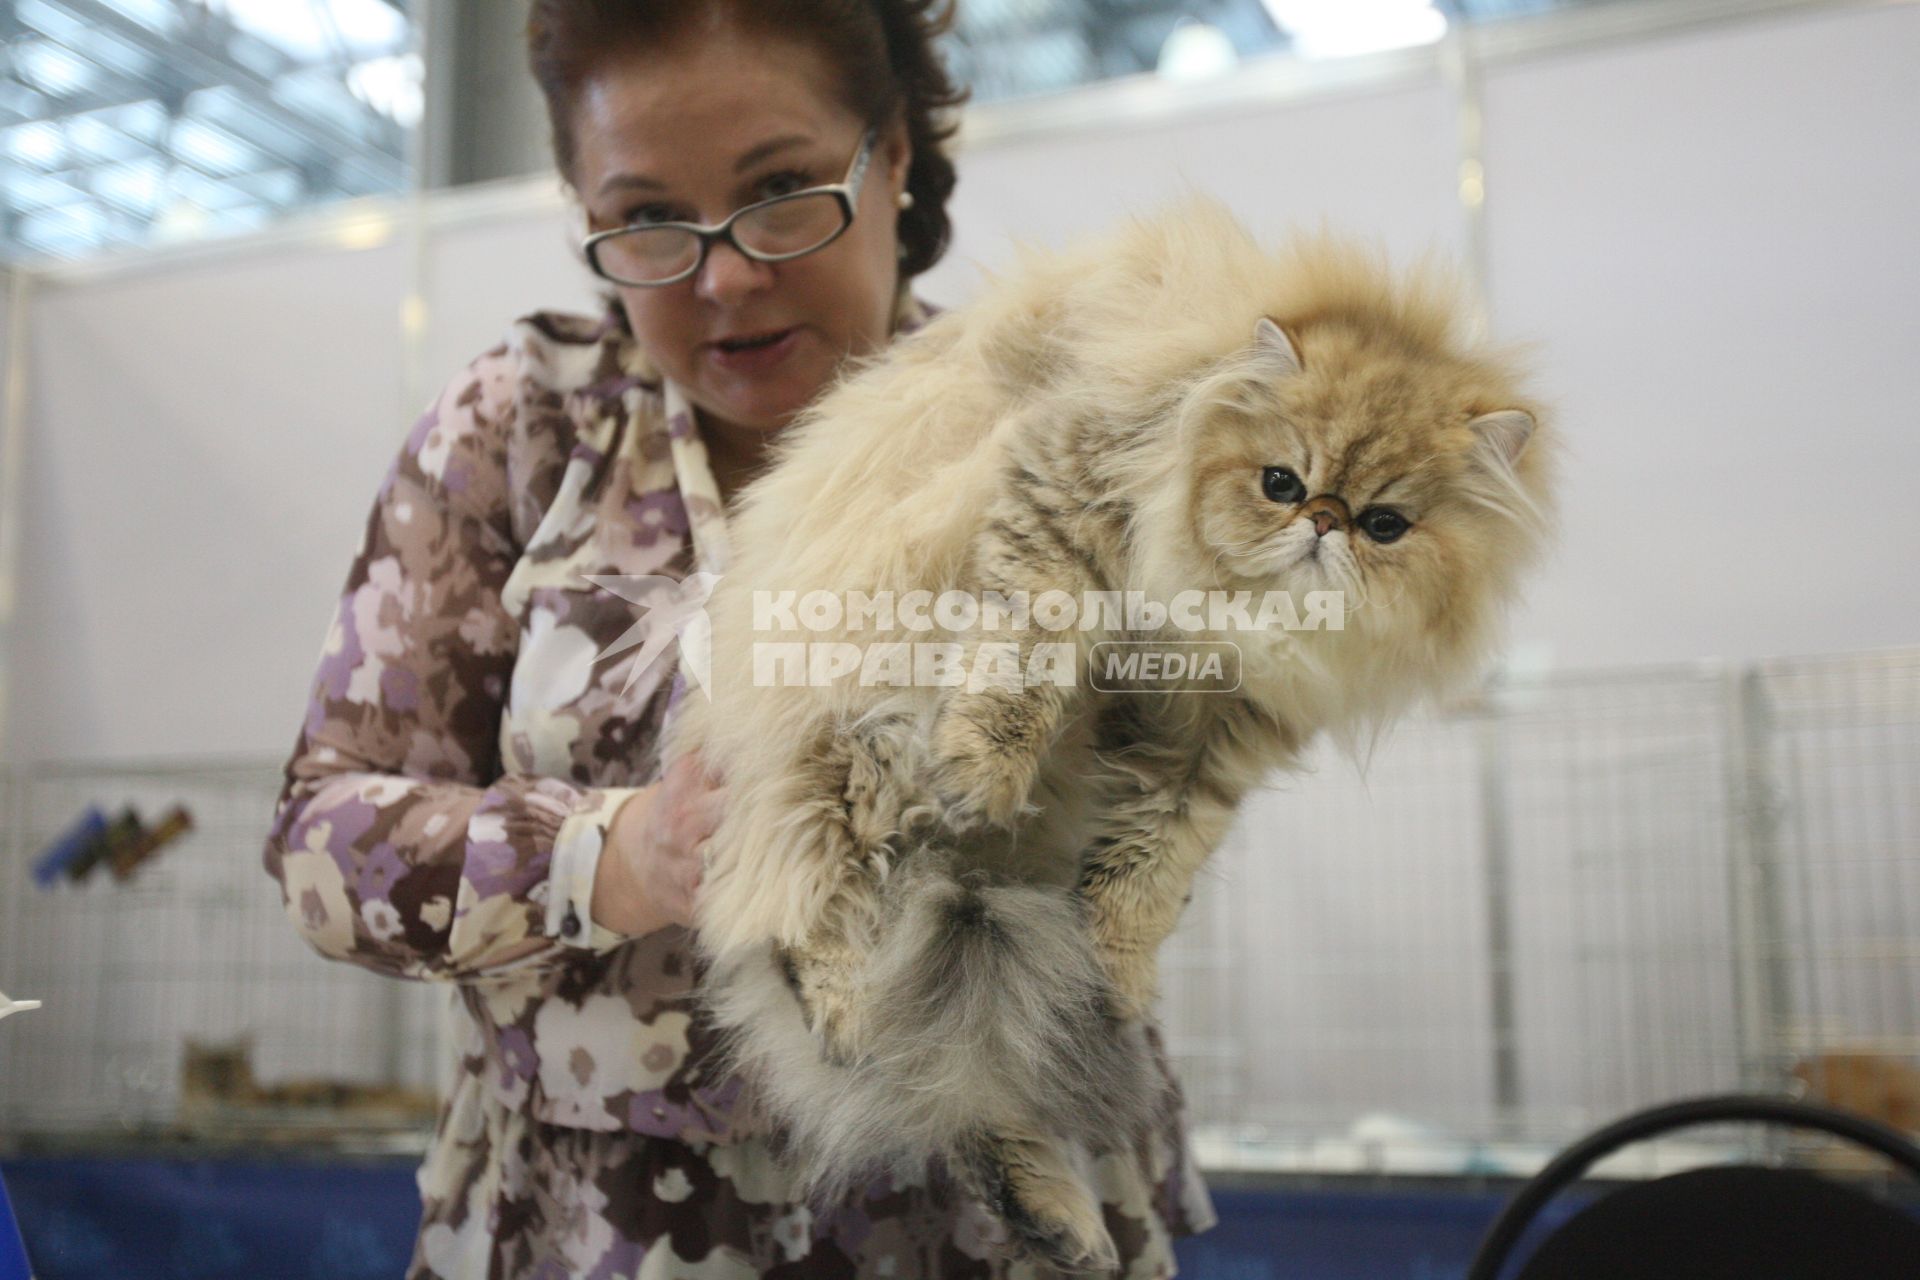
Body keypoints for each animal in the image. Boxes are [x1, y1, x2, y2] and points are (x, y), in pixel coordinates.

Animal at [660, 195, 1559, 1266]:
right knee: (804, 909)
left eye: (1386, 526)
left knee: (964, 1089)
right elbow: (1022, 668)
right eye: (1281, 483)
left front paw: (1122, 977)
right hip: (859, 753)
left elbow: (1152, 863)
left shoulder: (1217, 735)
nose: (1324, 525)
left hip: (977, 931)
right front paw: (986, 772)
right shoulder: (1065, 496)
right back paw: (847, 1011)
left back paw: (1061, 1223)